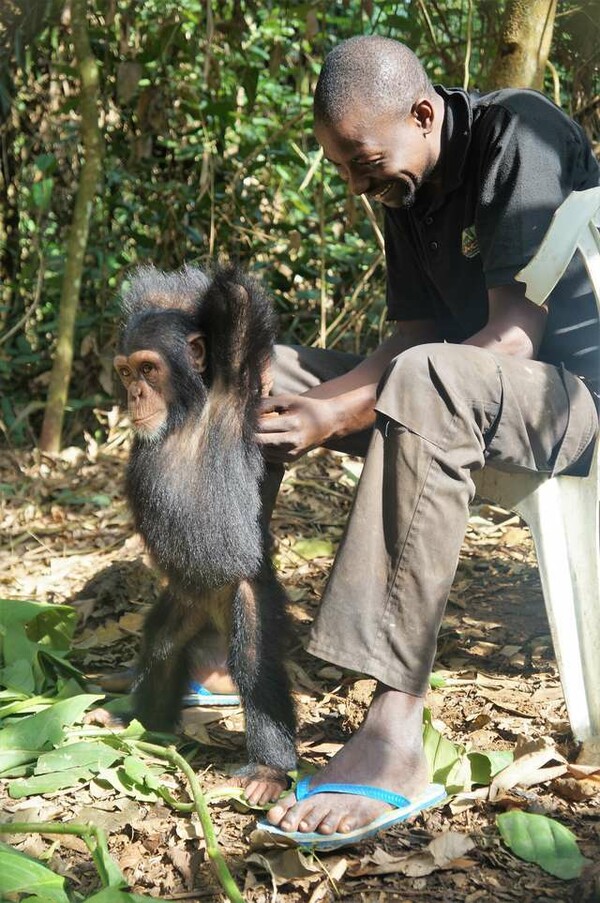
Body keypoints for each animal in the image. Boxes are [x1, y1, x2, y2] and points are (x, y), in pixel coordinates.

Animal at [113, 264, 296, 800]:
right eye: (126, 371)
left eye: (149, 369)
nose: (134, 394)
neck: (182, 416)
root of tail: (210, 607)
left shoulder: (233, 385)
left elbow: (237, 307)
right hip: (181, 600)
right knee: (161, 648)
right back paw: (144, 723)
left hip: (246, 593)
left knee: (256, 666)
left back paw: (269, 769)